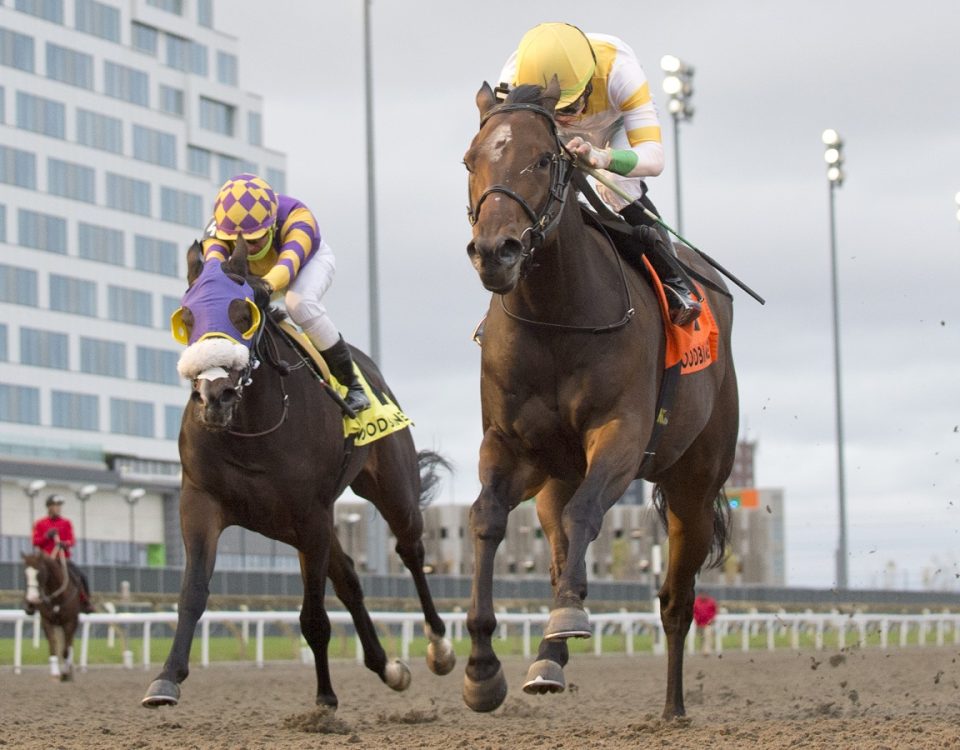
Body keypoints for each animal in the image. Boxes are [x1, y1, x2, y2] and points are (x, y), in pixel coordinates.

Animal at [22, 548, 81, 684]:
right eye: (25, 574)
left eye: (39, 573)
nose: (31, 602)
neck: (56, 599)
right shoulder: (47, 621)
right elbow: (53, 645)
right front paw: (55, 673)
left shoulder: (69, 622)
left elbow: (66, 650)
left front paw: (65, 672)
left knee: (69, 644)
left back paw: (69, 671)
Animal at [142, 239, 458, 712]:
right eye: (189, 318)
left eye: (245, 314)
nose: (216, 396)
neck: (249, 430)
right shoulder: (201, 502)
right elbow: (192, 592)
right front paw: (166, 678)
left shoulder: (310, 514)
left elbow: (313, 616)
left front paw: (325, 697)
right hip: (296, 523)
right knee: (349, 578)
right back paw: (386, 666)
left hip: (389, 490)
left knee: (411, 552)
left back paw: (438, 646)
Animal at [462, 79, 740, 720]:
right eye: (470, 160)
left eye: (544, 159)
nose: (495, 251)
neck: (557, 316)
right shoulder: (510, 445)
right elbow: (487, 518)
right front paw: (483, 668)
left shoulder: (622, 434)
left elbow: (587, 513)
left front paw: (567, 618)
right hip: (554, 480)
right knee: (560, 546)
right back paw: (548, 659)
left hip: (694, 486)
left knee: (676, 600)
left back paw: (673, 707)